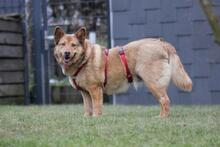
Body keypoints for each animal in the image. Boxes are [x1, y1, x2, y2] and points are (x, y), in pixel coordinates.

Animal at [53, 26, 192, 117]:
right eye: (63, 44)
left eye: (74, 45)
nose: (66, 53)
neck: (85, 59)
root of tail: (161, 43)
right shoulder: (85, 93)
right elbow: (88, 109)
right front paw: (87, 119)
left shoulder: (95, 90)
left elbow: (97, 107)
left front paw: (97, 119)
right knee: (164, 101)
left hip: (153, 83)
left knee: (165, 101)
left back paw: (162, 118)